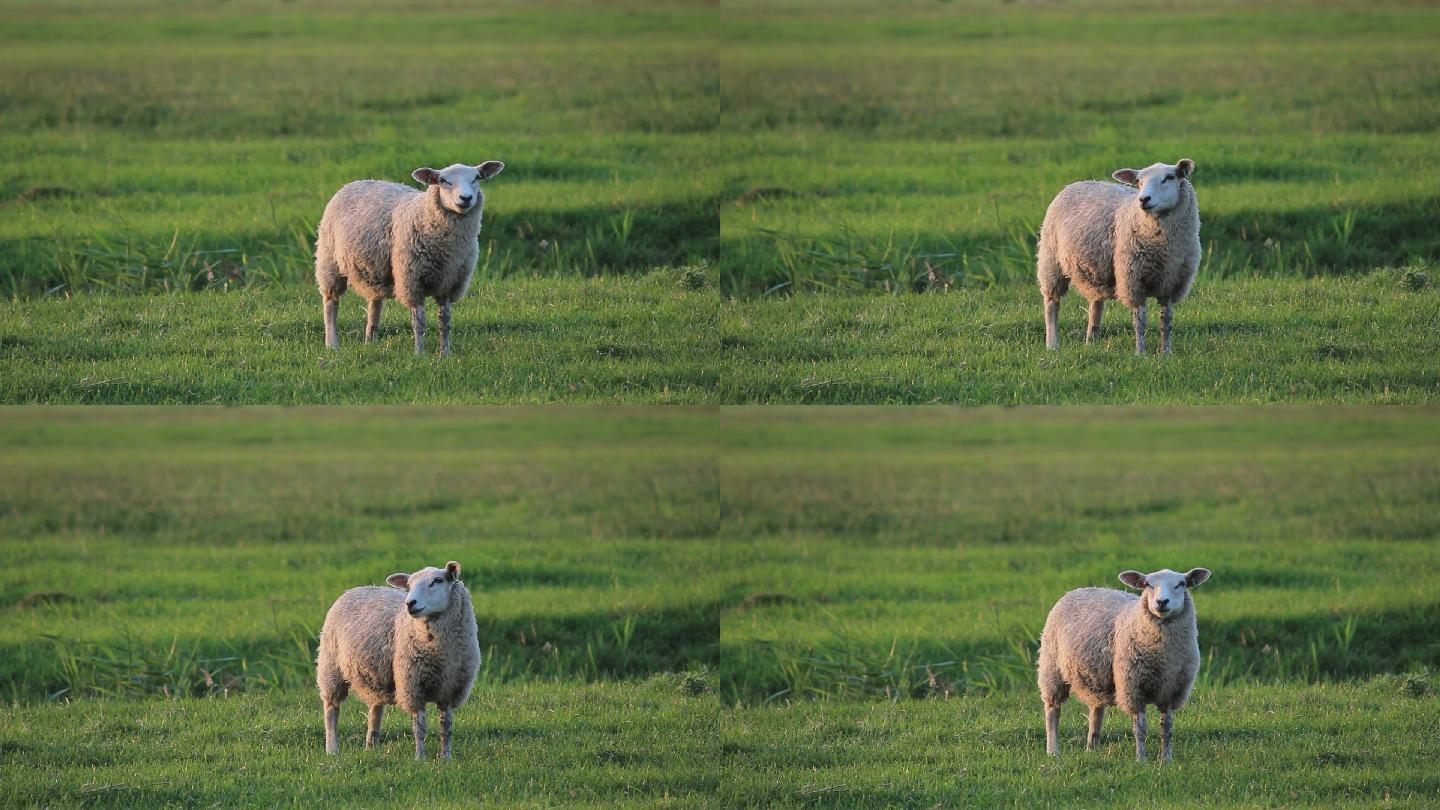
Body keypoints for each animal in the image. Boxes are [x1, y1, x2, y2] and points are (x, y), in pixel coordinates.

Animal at [312, 160, 504, 353]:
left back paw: (370, 342)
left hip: (376, 268)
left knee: (375, 305)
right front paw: (419, 353)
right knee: (330, 304)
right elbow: (419, 322)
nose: (466, 198)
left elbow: (445, 322)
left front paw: (445, 352)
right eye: (443, 180)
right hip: (329, 261)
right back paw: (332, 344)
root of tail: (356, 182)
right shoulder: (412, 281)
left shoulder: (449, 283)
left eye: (476, 178)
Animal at [318, 562, 480, 755]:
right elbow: (420, 727)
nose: (410, 603)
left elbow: (446, 728)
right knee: (331, 709)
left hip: (376, 676)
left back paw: (371, 747)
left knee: (375, 710)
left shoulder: (451, 689)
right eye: (409, 585)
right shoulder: (413, 687)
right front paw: (420, 757)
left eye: (438, 580)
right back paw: (332, 749)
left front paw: (446, 757)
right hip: (331, 666)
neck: (441, 654)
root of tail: (354, 589)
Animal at [1036, 159, 1203, 351]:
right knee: (1052, 304)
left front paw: (1166, 352)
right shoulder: (1133, 281)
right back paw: (1052, 344)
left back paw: (1091, 342)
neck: (1163, 249)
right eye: (1138, 181)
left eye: (1170, 177)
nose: (1143, 199)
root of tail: (1076, 183)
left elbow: (1166, 322)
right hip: (1051, 260)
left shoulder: (1171, 283)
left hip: (1096, 270)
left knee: (1096, 304)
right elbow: (1140, 321)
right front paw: (1140, 352)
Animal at [1036, 564, 1215, 760]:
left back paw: (1092, 748)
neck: (1163, 656)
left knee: (1096, 712)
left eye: (1181, 584)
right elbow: (1140, 729)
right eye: (1148, 584)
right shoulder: (1133, 688)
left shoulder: (1172, 690)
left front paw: (1166, 759)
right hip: (1052, 668)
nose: (1162, 602)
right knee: (1052, 710)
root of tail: (1078, 589)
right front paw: (1141, 759)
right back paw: (1053, 751)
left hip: (1097, 676)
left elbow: (1166, 728)